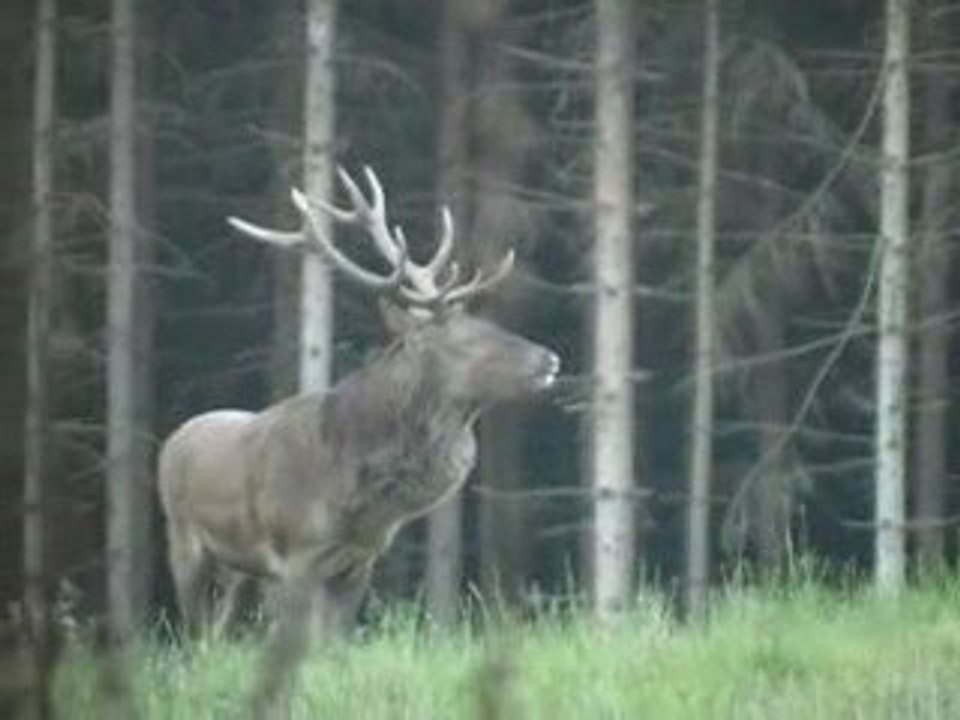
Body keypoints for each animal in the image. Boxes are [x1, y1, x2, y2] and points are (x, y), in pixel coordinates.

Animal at [157, 166, 561, 637]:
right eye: (466, 341)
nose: (551, 358)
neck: (352, 492)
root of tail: (173, 440)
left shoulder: (357, 562)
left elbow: (334, 639)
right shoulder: (292, 555)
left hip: (240, 570)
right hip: (184, 541)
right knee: (195, 632)